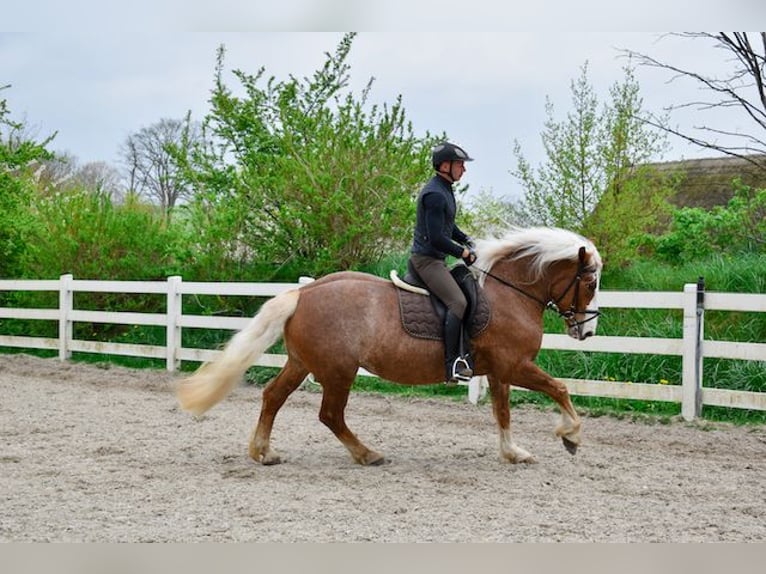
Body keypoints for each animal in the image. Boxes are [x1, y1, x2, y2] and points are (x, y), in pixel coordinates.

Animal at [177, 227, 604, 466]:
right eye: (590, 282)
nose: (587, 332)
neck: (508, 295)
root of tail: (303, 292)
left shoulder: (500, 371)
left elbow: (502, 413)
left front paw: (514, 454)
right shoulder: (515, 365)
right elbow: (559, 389)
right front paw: (571, 436)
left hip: (303, 364)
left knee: (273, 397)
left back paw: (264, 452)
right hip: (338, 371)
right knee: (330, 415)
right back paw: (367, 454)